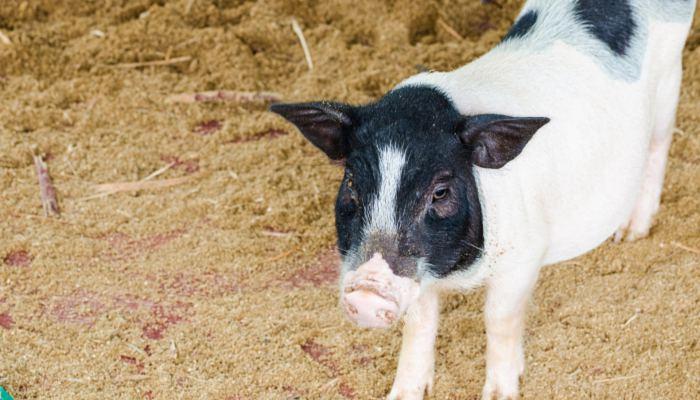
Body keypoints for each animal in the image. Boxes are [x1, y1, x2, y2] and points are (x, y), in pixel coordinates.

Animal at [268, 1, 696, 398]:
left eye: (440, 191)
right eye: (352, 182)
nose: (369, 290)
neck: (455, 272)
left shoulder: (523, 255)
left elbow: (499, 320)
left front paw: (501, 392)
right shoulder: (420, 273)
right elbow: (420, 325)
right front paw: (402, 393)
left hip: (670, 80)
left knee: (659, 143)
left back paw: (631, 233)